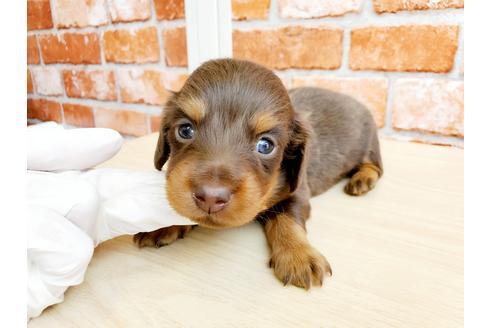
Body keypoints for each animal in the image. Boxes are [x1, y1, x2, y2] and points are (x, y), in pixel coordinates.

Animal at [133, 59, 382, 290]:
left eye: (265, 145)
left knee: (375, 167)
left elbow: (286, 217)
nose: (210, 198)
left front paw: (298, 254)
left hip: (370, 142)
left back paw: (363, 180)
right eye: (185, 130)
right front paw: (161, 225)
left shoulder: (297, 191)